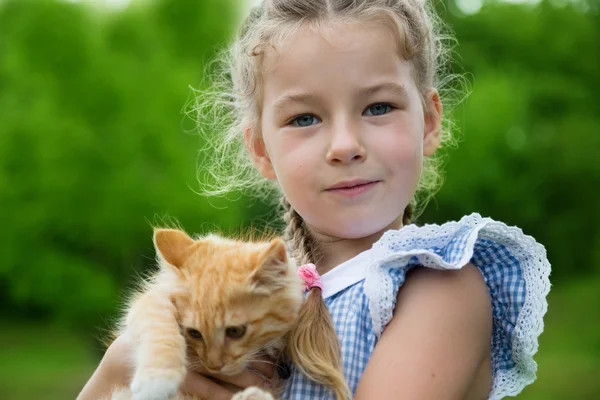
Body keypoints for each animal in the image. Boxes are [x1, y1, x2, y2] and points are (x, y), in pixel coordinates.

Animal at [106, 228, 300, 400]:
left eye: (235, 331)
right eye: (194, 333)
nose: (214, 366)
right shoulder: (154, 298)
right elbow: (159, 325)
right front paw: (156, 381)